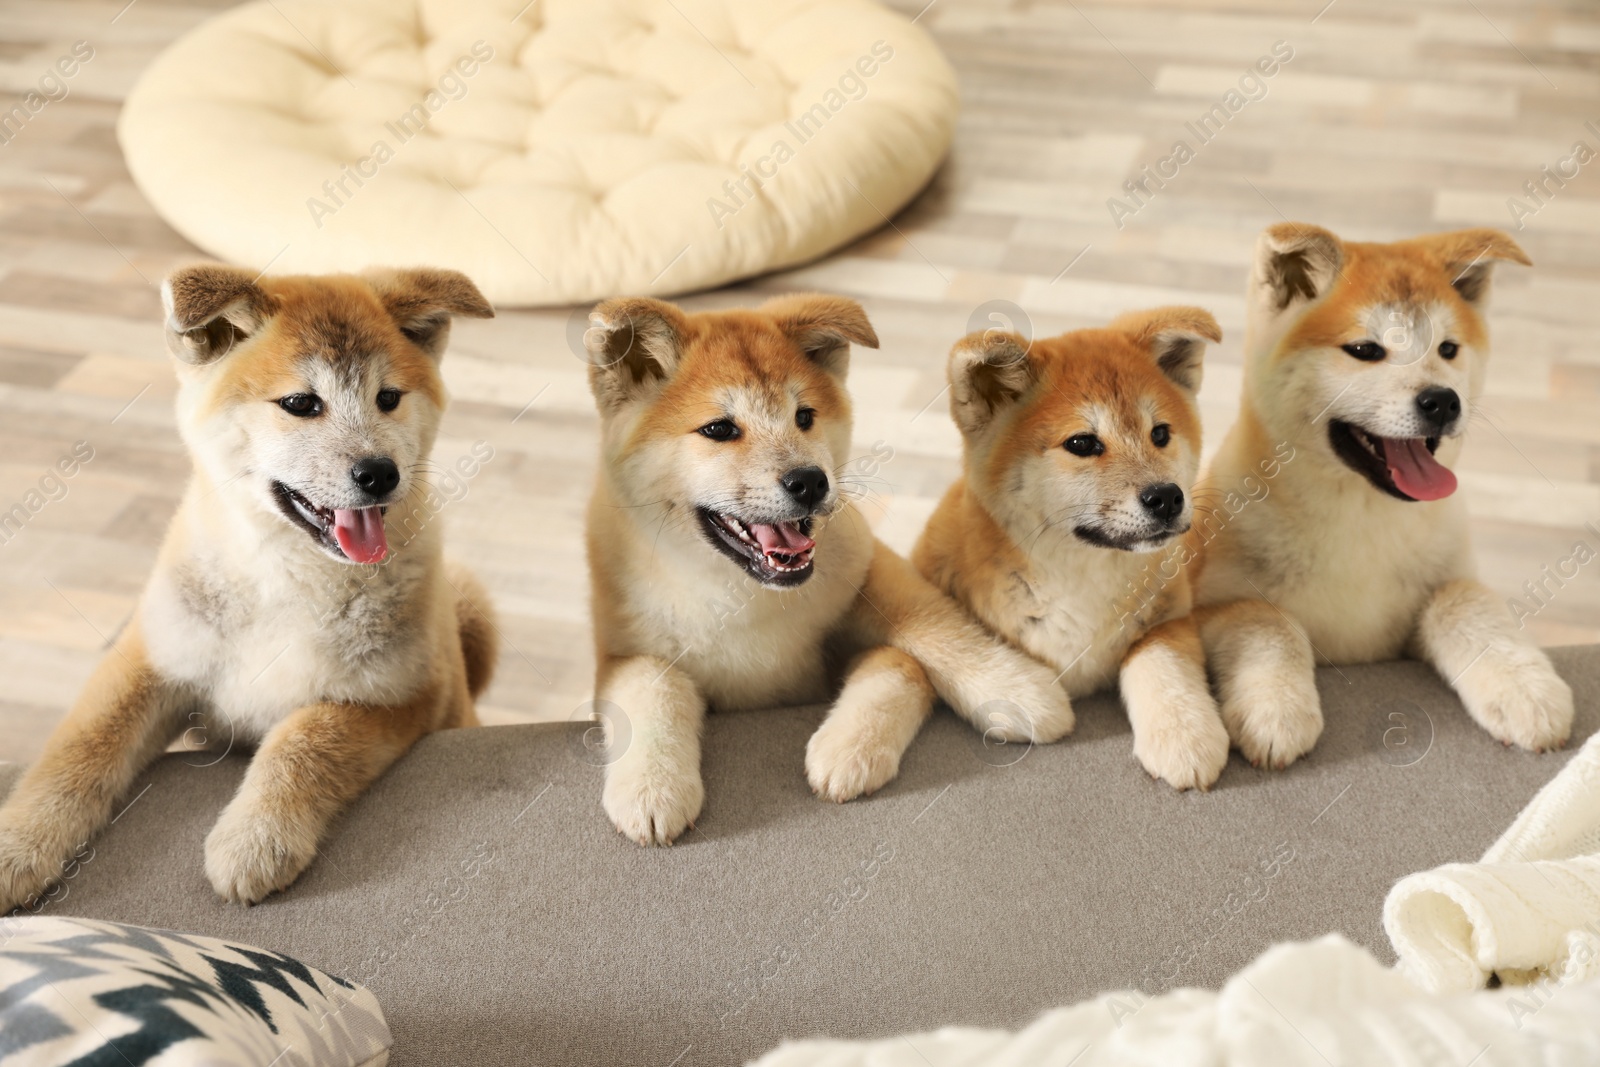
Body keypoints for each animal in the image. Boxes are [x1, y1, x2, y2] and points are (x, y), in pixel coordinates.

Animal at [0, 262, 496, 908]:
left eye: (388, 398)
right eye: (301, 403)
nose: (380, 473)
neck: (283, 577)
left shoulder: (401, 695)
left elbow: (303, 739)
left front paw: (255, 838)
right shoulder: (152, 661)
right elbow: (77, 748)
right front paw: (18, 842)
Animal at [582, 289, 1068, 844]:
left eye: (804, 417)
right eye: (719, 429)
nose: (810, 481)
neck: (744, 595)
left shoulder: (869, 570)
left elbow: (928, 632)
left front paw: (1016, 688)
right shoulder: (623, 652)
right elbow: (653, 689)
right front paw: (651, 787)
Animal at [921, 303, 1228, 790]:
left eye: (1160, 434)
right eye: (1082, 443)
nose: (1167, 497)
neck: (1080, 582)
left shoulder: (1170, 616)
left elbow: (1164, 663)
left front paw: (1184, 735)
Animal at [1190, 223, 1574, 767]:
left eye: (1448, 349)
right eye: (1366, 351)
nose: (1442, 401)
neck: (1363, 521)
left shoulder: (1432, 599)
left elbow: (1462, 600)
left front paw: (1525, 689)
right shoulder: (1206, 605)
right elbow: (1266, 620)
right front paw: (1276, 708)